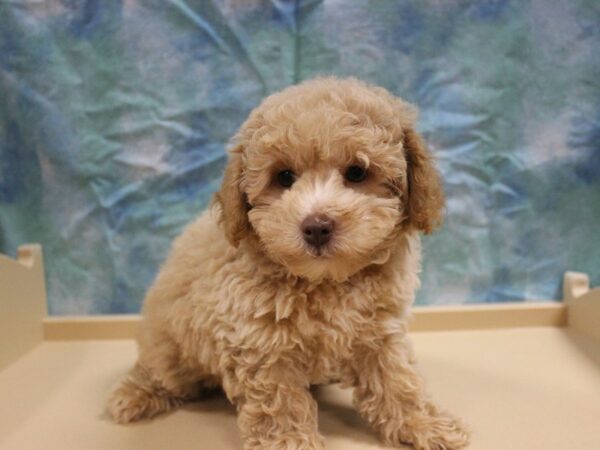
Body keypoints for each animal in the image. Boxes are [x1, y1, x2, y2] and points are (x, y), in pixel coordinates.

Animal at [110, 78, 472, 450]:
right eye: (284, 177)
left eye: (357, 172)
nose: (317, 227)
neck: (326, 281)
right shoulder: (261, 342)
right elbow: (279, 401)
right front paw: (289, 442)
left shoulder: (380, 330)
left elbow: (397, 380)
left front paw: (424, 423)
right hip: (170, 346)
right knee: (157, 371)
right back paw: (133, 396)